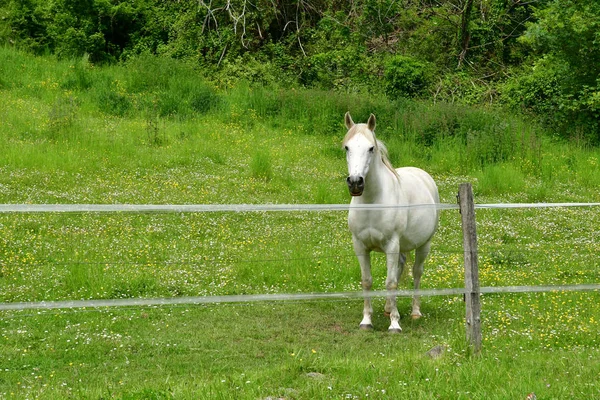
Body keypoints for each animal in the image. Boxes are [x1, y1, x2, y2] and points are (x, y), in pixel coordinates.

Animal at [342, 111, 440, 332]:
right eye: (347, 147)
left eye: (371, 148)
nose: (355, 183)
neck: (372, 203)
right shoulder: (360, 246)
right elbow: (367, 281)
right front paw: (366, 321)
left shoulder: (391, 245)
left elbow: (391, 282)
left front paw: (395, 324)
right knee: (400, 268)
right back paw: (388, 308)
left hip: (424, 245)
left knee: (416, 273)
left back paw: (415, 312)